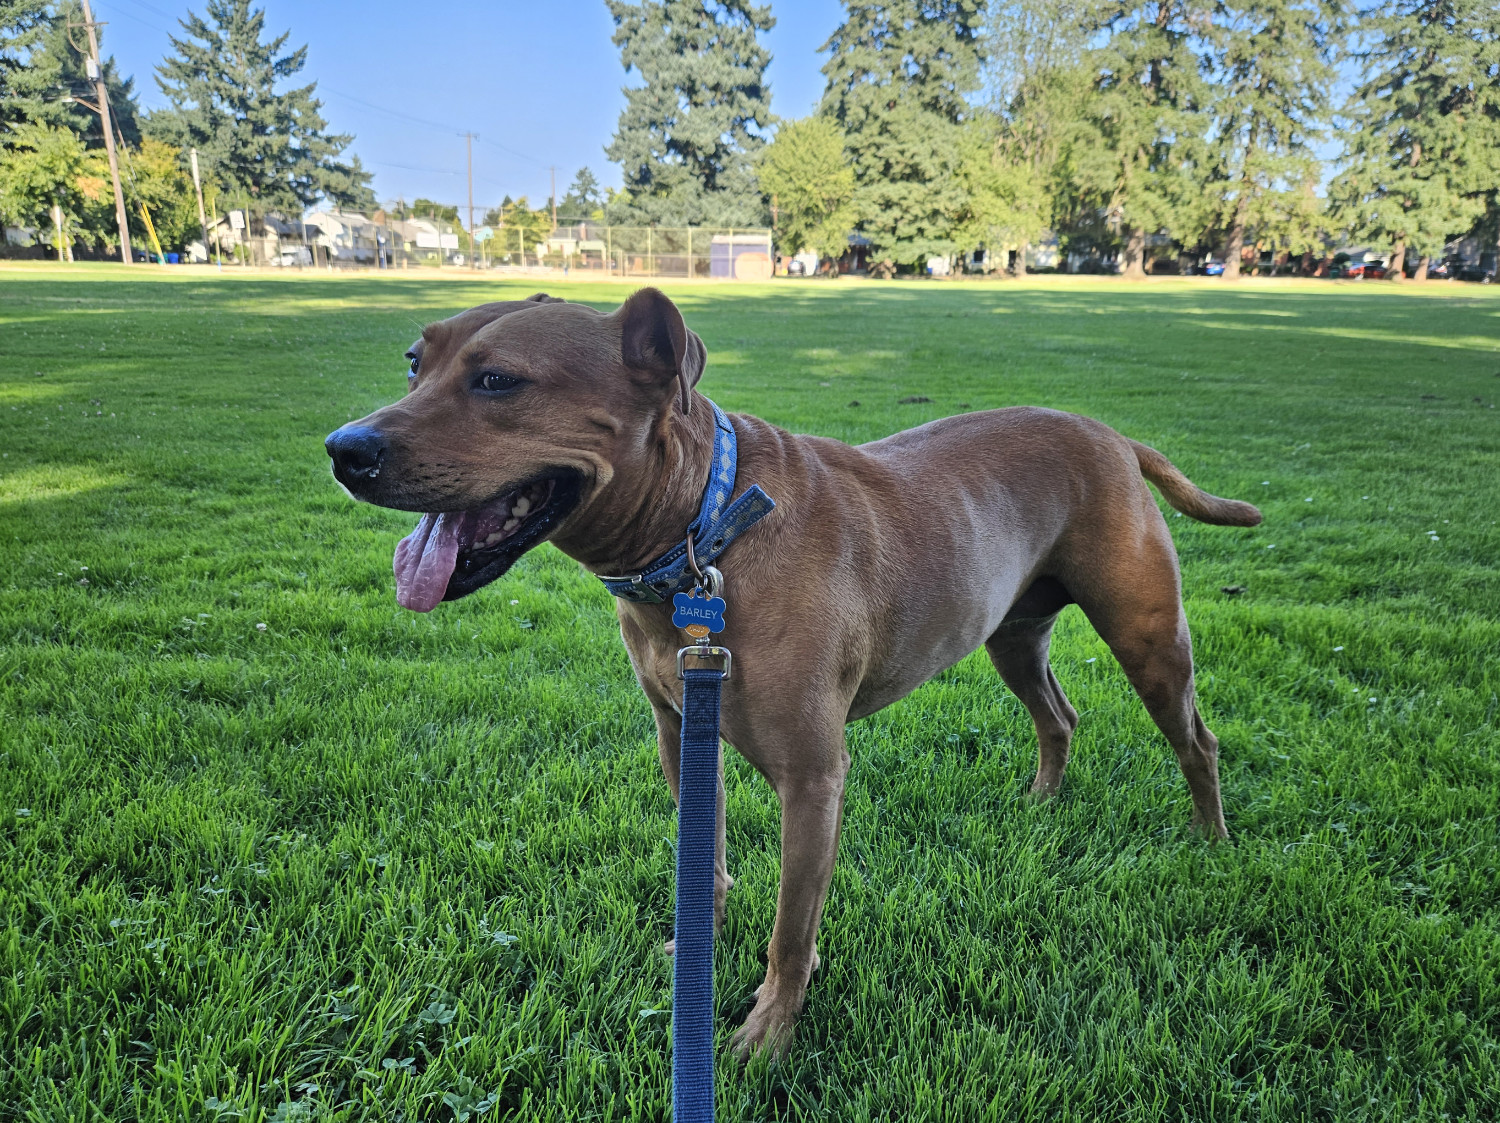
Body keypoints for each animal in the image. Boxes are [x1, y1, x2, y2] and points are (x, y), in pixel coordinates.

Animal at [325, 289, 1254, 1061]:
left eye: (498, 380)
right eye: (415, 362)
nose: (343, 448)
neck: (706, 530)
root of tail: (1112, 435)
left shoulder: (814, 778)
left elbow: (791, 929)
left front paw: (768, 1030)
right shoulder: (681, 734)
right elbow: (706, 864)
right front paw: (694, 950)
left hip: (1148, 637)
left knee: (1197, 741)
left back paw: (1211, 841)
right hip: (1012, 635)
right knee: (1057, 715)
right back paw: (1042, 801)